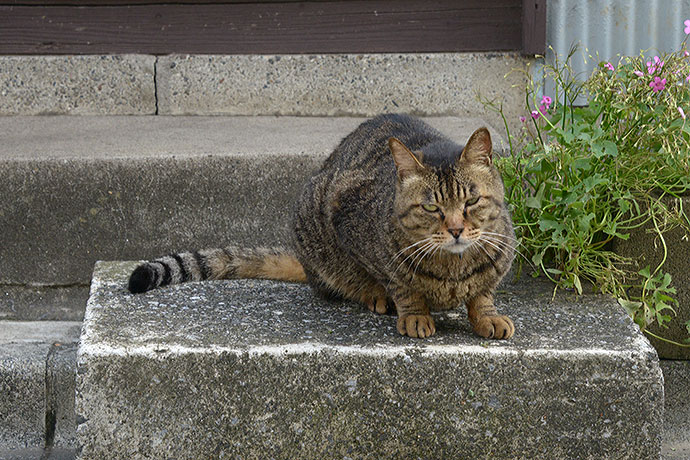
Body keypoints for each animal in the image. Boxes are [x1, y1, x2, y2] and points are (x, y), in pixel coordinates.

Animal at [130, 114, 516, 338]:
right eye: (432, 207)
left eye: (471, 202)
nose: (456, 230)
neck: (453, 270)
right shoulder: (346, 215)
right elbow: (400, 284)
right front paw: (413, 312)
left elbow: (482, 292)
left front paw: (487, 315)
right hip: (314, 213)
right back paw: (375, 296)